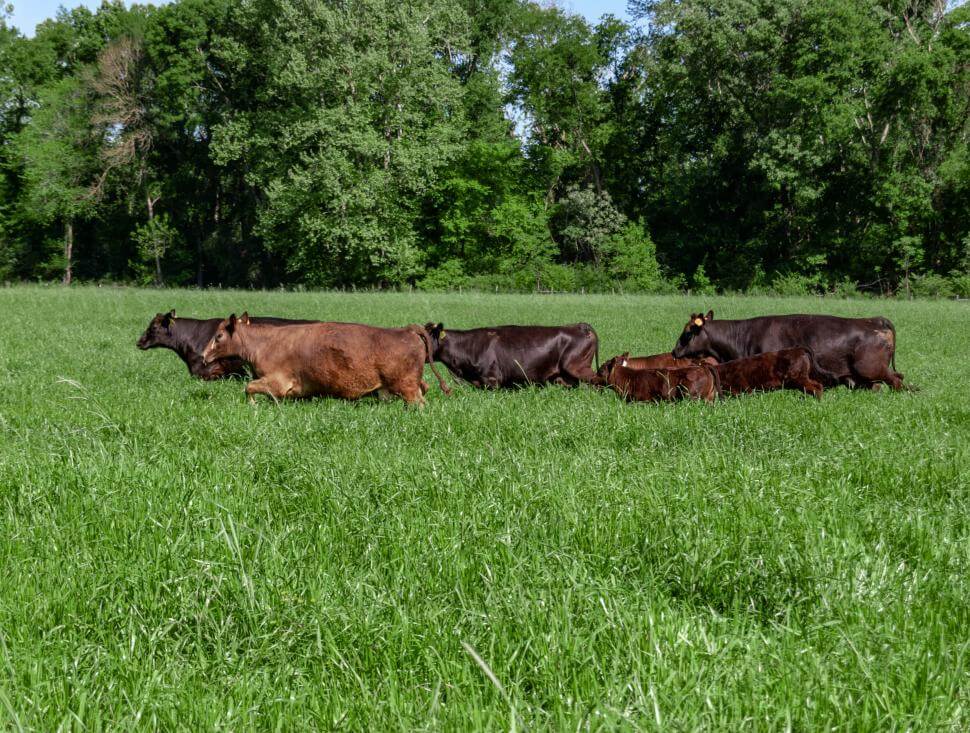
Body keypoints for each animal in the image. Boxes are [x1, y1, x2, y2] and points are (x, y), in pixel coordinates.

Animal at [201, 313, 451, 405]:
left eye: (218, 335)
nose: (203, 355)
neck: (263, 344)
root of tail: (406, 330)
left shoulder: (279, 382)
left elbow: (249, 387)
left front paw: (253, 405)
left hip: (406, 385)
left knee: (419, 402)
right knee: (424, 387)